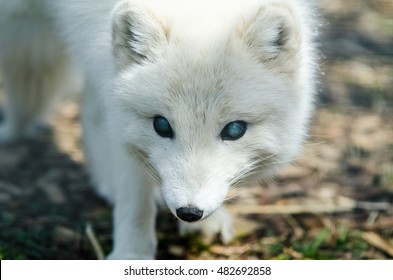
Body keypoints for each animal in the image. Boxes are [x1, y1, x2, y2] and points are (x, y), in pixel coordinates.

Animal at [0, 0, 316, 260]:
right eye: (161, 125)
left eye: (235, 129)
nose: (190, 213)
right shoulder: (121, 116)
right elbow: (134, 196)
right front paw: (132, 254)